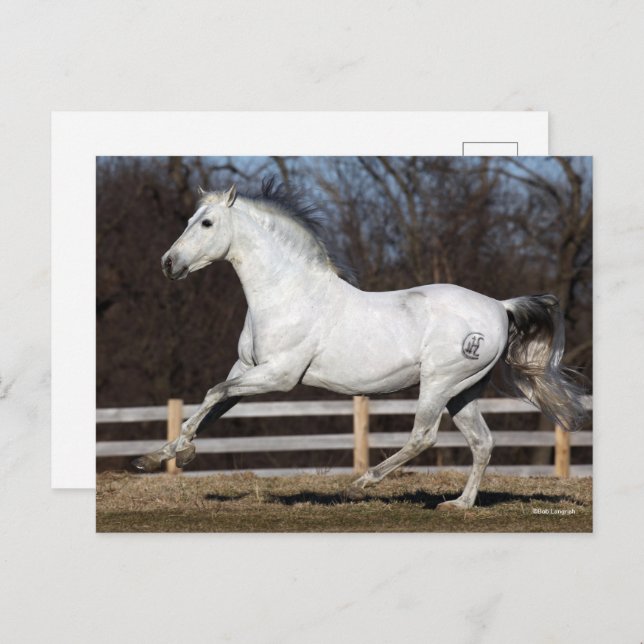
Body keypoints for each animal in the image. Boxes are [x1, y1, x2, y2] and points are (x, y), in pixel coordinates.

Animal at [132, 180, 586, 510]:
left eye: (206, 224)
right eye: (190, 219)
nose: (168, 264)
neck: (286, 294)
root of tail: (499, 306)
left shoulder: (278, 376)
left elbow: (212, 395)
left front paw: (181, 454)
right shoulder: (246, 369)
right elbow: (211, 407)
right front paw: (155, 456)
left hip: (438, 383)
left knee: (424, 436)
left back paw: (361, 484)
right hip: (465, 391)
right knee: (482, 443)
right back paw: (459, 504)